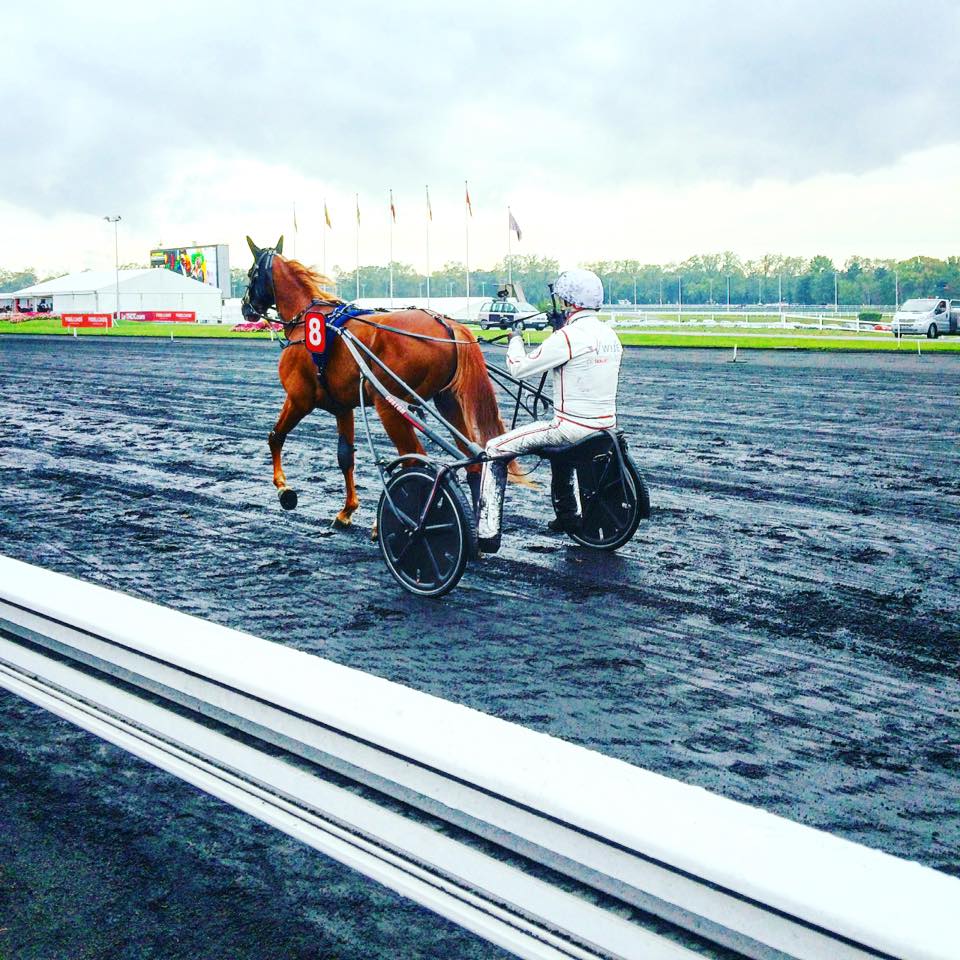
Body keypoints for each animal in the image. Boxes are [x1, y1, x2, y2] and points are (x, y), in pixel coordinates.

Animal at [244, 235, 520, 528]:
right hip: (448, 402)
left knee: (414, 462)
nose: (245, 308)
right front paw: (347, 510)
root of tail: (447, 325)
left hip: (388, 405)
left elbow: (275, 437)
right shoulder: (342, 406)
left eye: (251, 274)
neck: (307, 320)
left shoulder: (299, 399)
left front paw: (283, 488)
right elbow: (345, 456)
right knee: (473, 462)